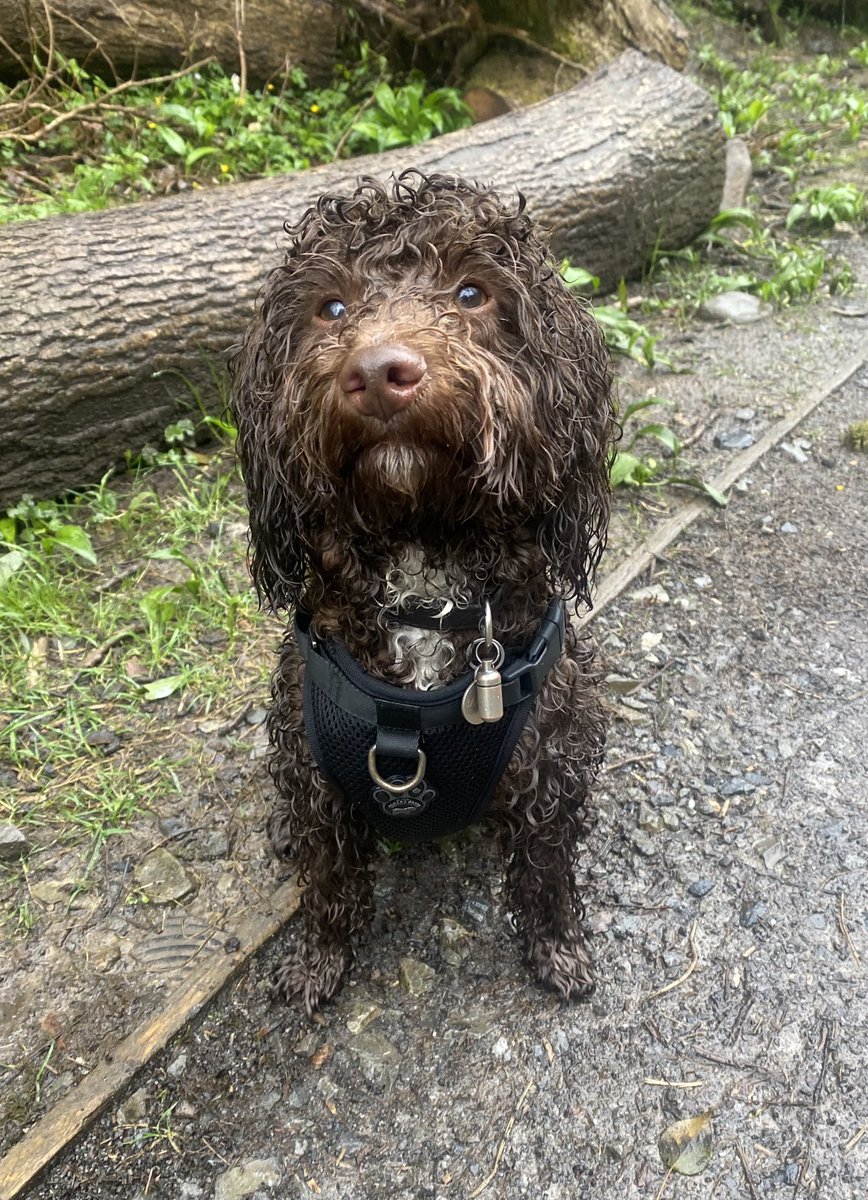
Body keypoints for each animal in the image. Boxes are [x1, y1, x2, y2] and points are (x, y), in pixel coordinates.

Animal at [226, 171, 614, 1012]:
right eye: (331, 308)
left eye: (472, 292)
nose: (378, 371)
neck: (422, 589)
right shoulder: (315, 774)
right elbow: (328, 880)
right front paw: (316, 961)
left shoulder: (552, 763)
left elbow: (545, 873)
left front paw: (558, 950)